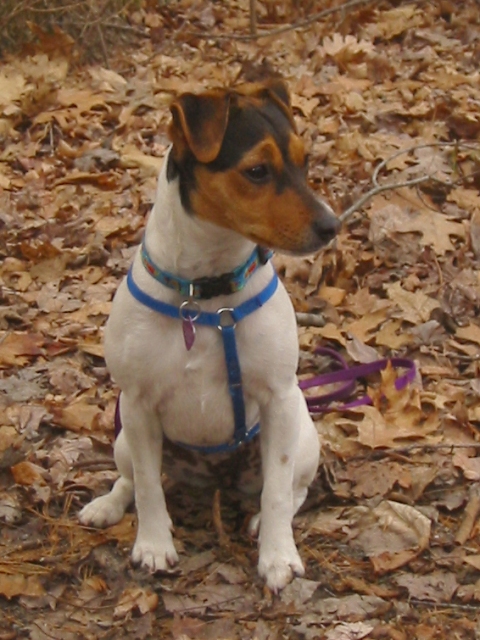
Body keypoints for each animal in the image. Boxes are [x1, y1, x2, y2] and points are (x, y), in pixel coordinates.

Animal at [79, 81, 340, 596]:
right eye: (257, 170)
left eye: (305, 163)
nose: (332, 226)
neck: (206, 297)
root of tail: (214, 479)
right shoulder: (136, 403)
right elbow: (147, 485)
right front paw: (153, 544)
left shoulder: (279, 399)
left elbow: (277, 492)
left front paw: (277, 557)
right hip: (123, 438)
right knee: (131, 479)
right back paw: (109, 506)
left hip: (303, 437)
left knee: (293, 489)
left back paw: (263, 521)